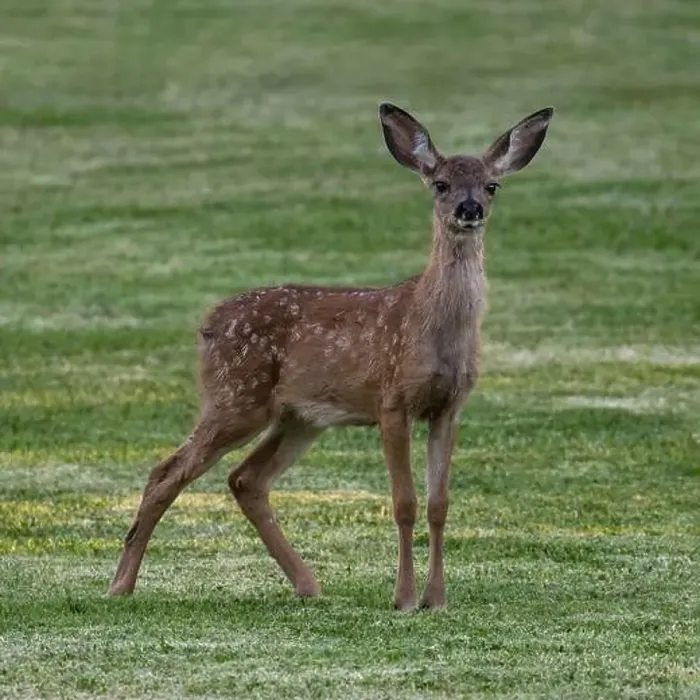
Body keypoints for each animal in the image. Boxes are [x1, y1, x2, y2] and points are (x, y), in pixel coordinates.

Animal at [109, 102, 553, 610]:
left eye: (491, 185)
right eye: (440, 183)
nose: (470, 209)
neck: (432, 326)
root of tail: (208, 322)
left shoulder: (449, 408)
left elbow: (439, 505)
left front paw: (436, 599)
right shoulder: (392, 400)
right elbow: (404, 503)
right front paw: (404, 598)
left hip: (300, 417)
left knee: (246, 479)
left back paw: (309, 584)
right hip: (236, 396)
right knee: (166, 471)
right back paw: (121, 584)